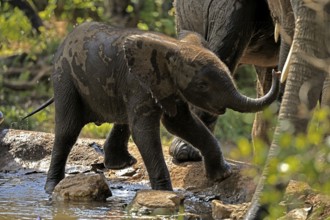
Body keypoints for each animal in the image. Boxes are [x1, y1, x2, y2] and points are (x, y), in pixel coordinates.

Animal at [43, 21, 278, 193]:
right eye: (202, 85)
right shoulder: (137, 83)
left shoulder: (169, 85)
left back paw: (120, 165)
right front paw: (166, 194)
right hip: (64, 79)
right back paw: (51, 189)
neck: (173, 46)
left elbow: (182, 124)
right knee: (68, 130)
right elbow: (145, 133)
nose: (276, 71)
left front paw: (223, 176)